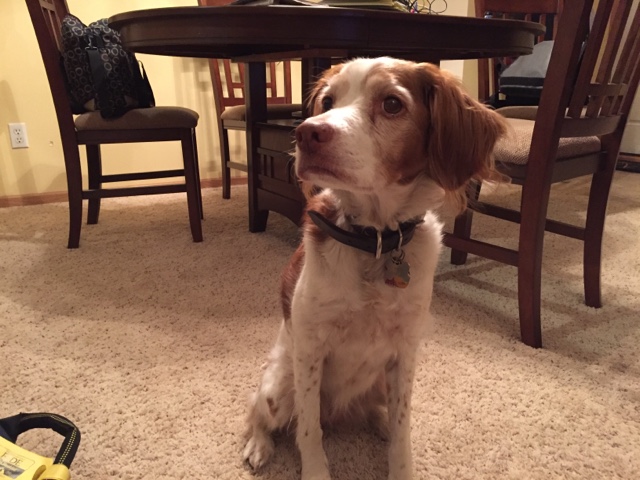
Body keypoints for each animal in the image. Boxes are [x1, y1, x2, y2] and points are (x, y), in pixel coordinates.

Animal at [242, 57, 506, 480]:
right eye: (327, 101)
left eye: (392, 104)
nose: (306, 133)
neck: (377, 241)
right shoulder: (310, 349)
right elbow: (308, 431)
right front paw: (315, 471)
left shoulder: (405, 351)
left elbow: (402, 429)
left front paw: (401, 466)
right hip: (279, 387)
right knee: (261, 413)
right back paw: (258, 445)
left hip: (379, 383)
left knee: (376, 414)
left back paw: (378, 423)